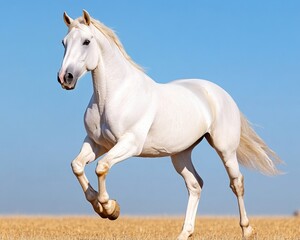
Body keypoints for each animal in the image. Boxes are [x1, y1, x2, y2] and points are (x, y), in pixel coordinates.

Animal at [58, 10, 282, 239]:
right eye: (64, 42)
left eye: (86, 41)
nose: (65, 78)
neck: (114, 96)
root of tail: (221, 94)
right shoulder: (97, 143)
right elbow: (77, 166)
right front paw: (100, 206)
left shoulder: (129, 144)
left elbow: (101, 167)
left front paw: (109, 208)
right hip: (180, 154)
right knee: (195, 185)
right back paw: (185, 232)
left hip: (225, 149)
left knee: (236, 183)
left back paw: (247, 229)